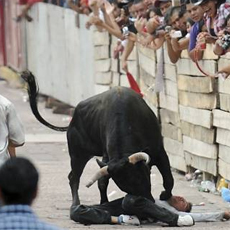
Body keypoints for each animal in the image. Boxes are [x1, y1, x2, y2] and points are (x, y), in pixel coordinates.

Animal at [22, 70, 174, 210]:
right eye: (123, 184)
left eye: (141, 176)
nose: (147, 200)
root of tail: (73, 120)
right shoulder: (106, 159)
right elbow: (102, 182)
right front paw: (104, 203)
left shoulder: (159, 152)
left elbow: (168, 178)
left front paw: (165, 195)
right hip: (77, 155)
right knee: (74, 177)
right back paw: (76, 204)